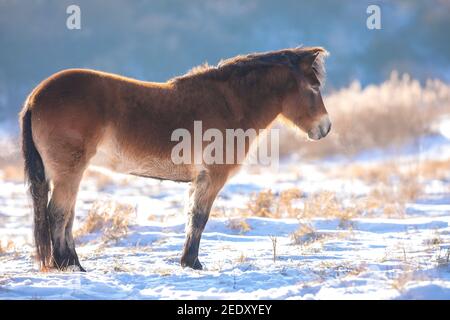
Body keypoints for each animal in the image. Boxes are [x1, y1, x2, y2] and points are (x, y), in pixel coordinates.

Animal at [19, 47, 330, 272]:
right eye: (313, 89)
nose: (325, 128)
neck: (229, 105)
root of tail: (35, 97)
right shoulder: (212, 177)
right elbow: (199, 218)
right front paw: (192, 262)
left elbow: (192, 217)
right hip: (68, 172)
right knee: (58, 213)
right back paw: (68, 265)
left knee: (66, 215)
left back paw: (71, 263)